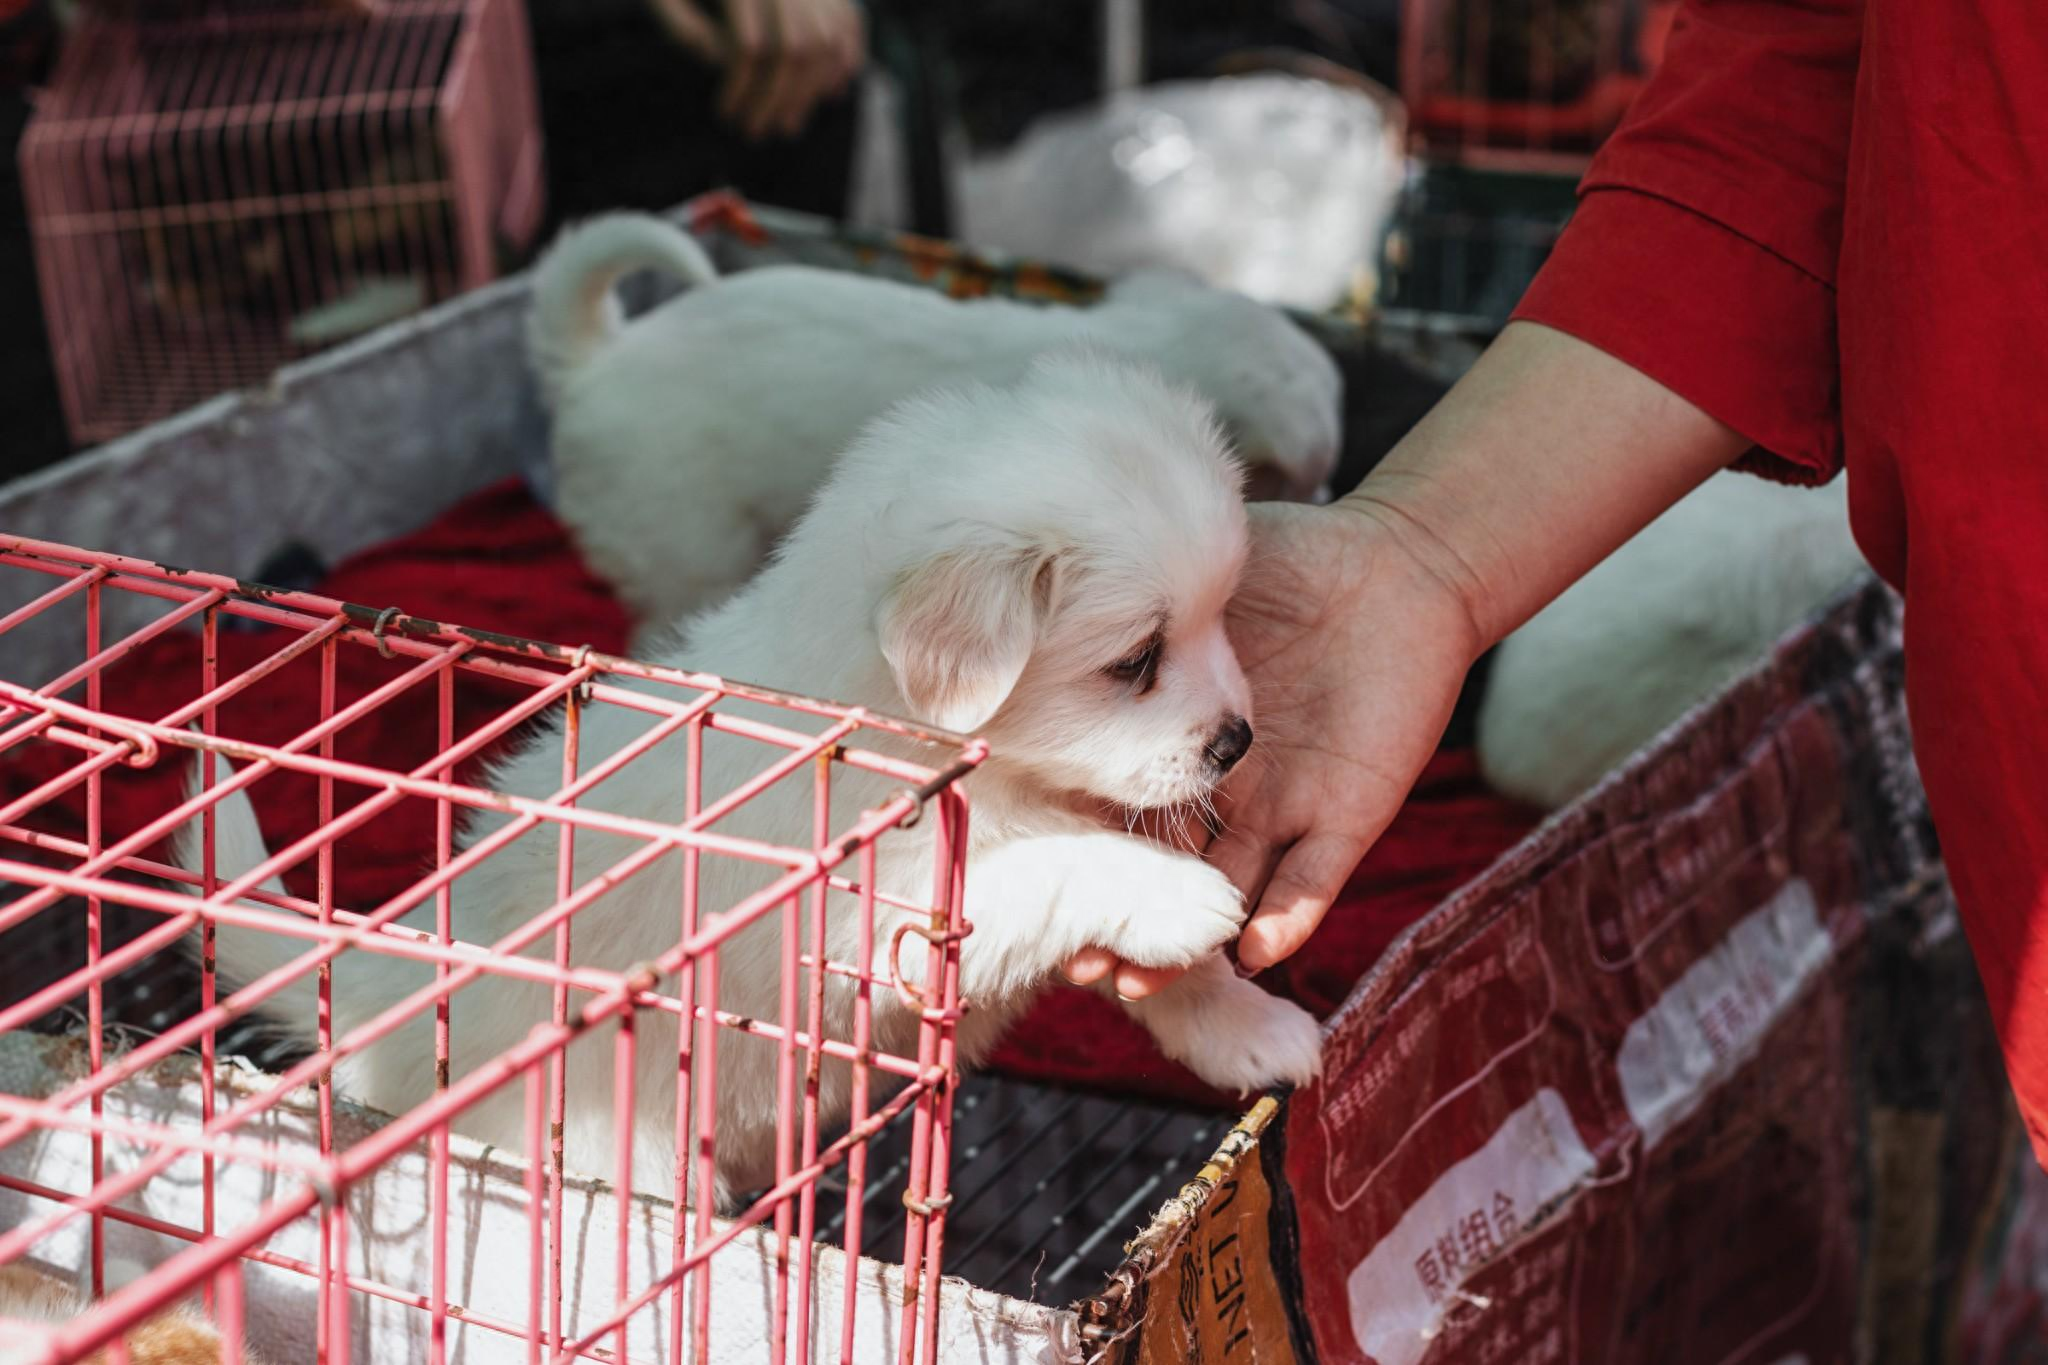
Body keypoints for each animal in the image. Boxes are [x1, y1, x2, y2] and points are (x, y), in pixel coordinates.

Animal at [184, 349, 1318, 1203]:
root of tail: (396, 988)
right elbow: (1061, 866)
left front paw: (1252, 1032)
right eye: (1135, 661)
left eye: (1221, 616)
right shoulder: (879, 914)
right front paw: (1176, 898)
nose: (1238, 741)